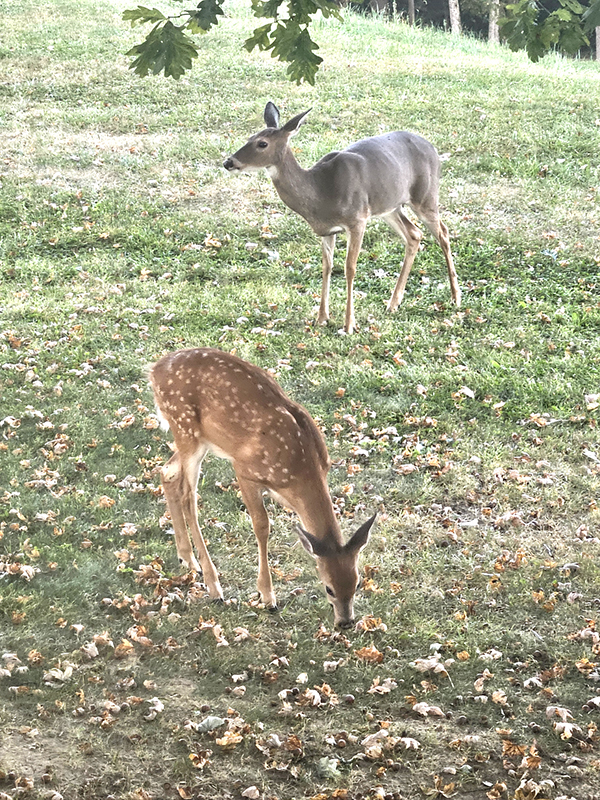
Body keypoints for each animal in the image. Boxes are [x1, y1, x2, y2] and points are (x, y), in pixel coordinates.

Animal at [149, 347, 376, 628]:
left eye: (357, 584)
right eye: (328, 588)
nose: (345, 622)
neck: (300, 471)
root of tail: (154, 371)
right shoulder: (245, 470)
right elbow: (262, 526)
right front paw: (267, 596)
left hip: (195, 439)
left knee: (166, 472)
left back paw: (187, 559)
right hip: (185, 428)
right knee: (188, 497)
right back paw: (214, 586)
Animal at [223, 102, 461, 334]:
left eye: (262, 144)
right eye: (249, 138)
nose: (228, 162)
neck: (320, 191)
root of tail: (433, 149)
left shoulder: (357, 219)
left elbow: (350, 268)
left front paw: (349, 325)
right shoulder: (327, 230)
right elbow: (327, 267)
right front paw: (321, 318)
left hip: (425, 195)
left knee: (443, 232)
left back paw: (455, 297)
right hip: (390, 207)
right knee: (414, 234)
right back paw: (394, 303)